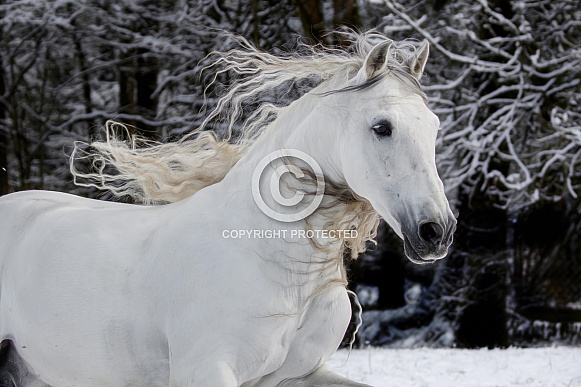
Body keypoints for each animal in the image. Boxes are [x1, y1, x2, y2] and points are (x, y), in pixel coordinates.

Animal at [0, 34, 454, 387]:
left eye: (433, 126)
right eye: (381, 127)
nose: (437, 232)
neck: (273, 262)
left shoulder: (297, 376)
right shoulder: (205, 371)